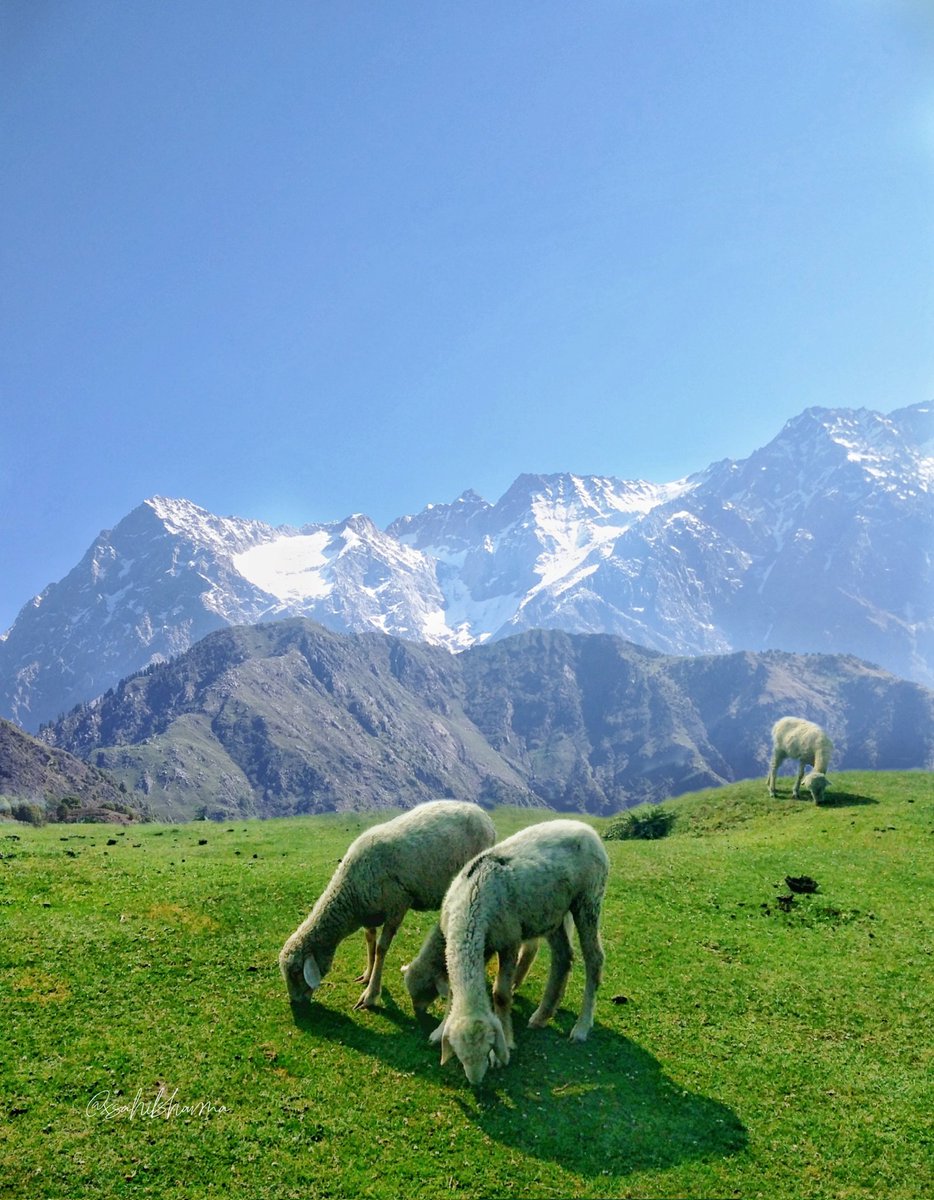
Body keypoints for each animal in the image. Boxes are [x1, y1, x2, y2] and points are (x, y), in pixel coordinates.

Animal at [276, 801, 494, 1008]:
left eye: (296, 972)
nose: (295, 1002)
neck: (350, 894)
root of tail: (483, 815)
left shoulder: (398, 905)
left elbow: (381, 948)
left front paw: (371, 995)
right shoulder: (368, 912)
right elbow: (370, 941)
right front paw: (367, 975)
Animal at [432, 816, 607, 1089]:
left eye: (489, 1046)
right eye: (460, 1056)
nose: (476, 1081)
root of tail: (586, 827)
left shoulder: (509, 941)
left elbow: (501, 994)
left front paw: (506, 1044)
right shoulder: (482, 946)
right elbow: (452, 989)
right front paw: (440, 1029)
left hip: (588, 899)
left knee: (594, 960)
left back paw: (581, 1027)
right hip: (552, 913)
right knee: (563, 957)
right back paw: (542, 1016)